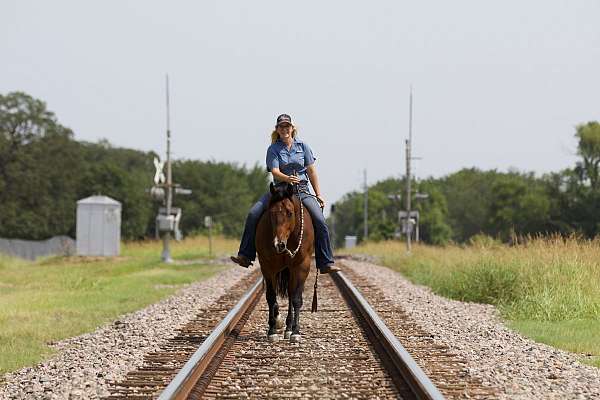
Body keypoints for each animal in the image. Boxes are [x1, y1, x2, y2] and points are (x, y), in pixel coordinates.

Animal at [256, 183, 316, 342]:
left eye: (289, 213)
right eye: (271, 213)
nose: (279, 244)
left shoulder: (302, 266)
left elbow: (296, 298)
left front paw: (296, 332)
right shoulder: (267, 266)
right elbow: (271, 296)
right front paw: (272, 330)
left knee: (291, 294)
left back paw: (289, 328)